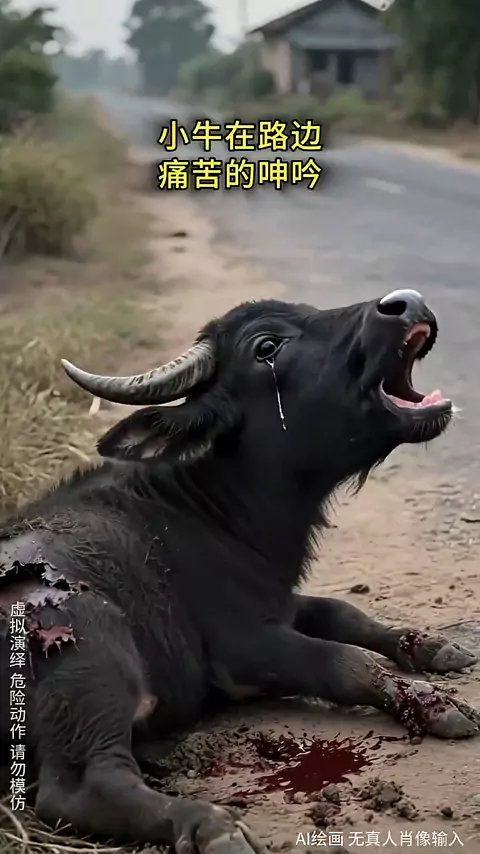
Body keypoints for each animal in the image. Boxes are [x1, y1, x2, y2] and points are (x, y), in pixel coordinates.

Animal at [0, 290, 479, 854]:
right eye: (266, 346)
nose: (407, 304)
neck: (209, 504)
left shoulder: (281, 599)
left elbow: (345, 613)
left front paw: (434, 648)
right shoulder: (244, 648)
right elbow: (347, 662)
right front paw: (436, 705)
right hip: (91, 653)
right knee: (82, 787)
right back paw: (215, 827)